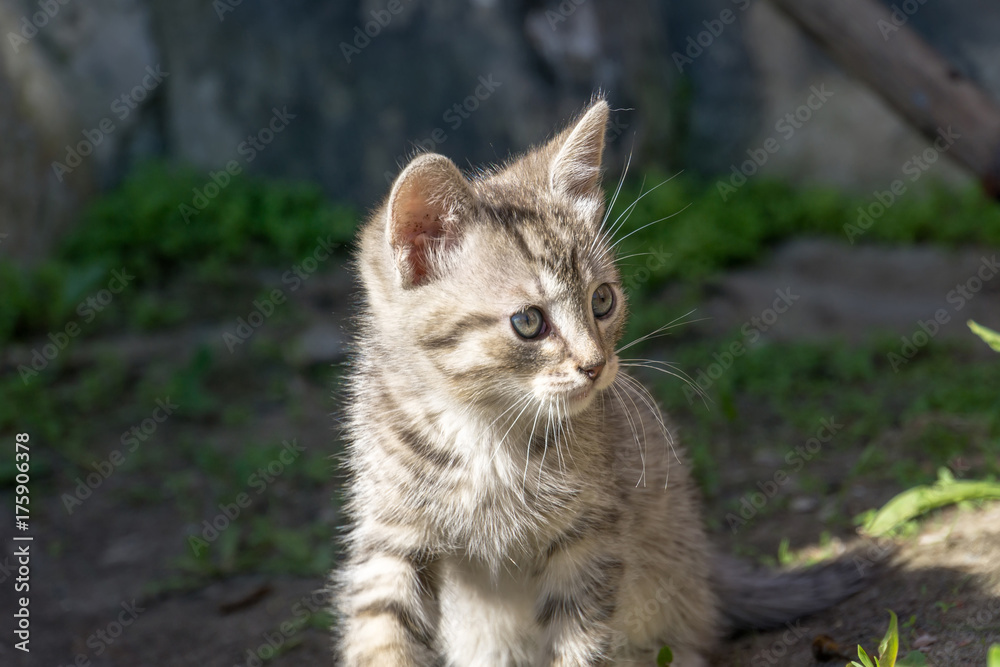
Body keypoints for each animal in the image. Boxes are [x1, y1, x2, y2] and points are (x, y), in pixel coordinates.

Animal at [336, 99, 868, 667]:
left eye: (602, 300)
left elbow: (580, 645)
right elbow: (381, 634)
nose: (596, 365)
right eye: (528, 321)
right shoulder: (392, 537)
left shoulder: (589, 540)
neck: (484, 430)